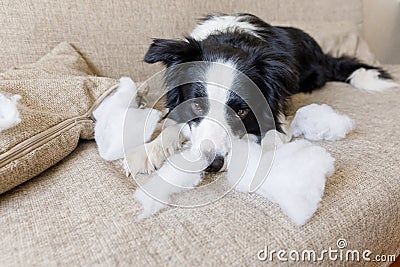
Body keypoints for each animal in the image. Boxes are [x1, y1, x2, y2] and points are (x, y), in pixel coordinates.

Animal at [127, 13, 394, 175]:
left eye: (242, 111)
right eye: (197, 106)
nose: (212, 165)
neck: (232, 40)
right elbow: (175, 124)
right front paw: (147, 151)